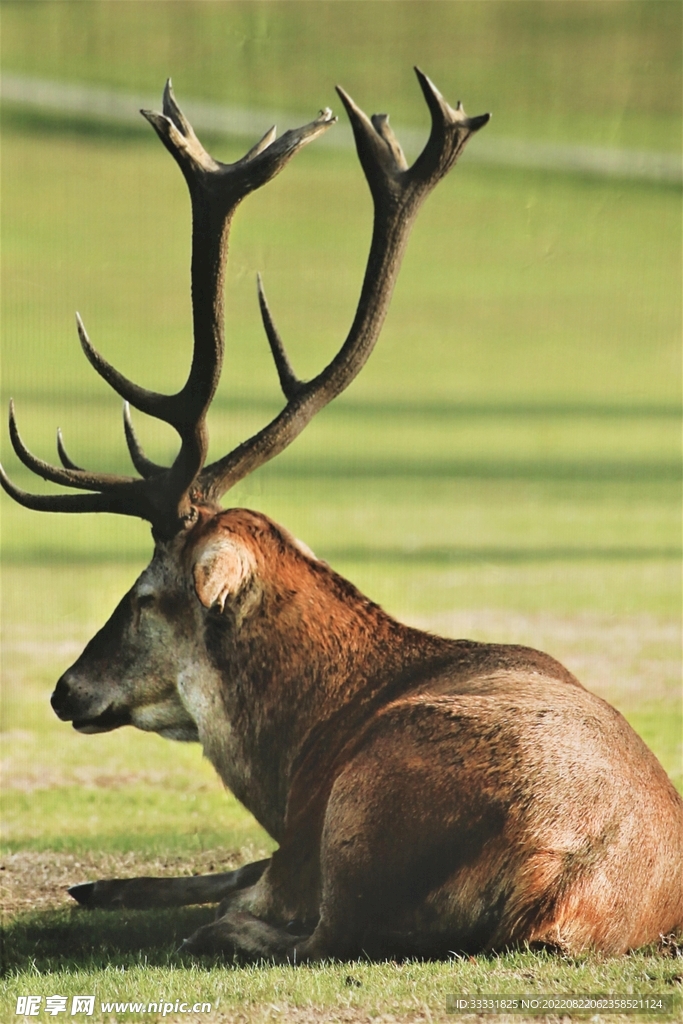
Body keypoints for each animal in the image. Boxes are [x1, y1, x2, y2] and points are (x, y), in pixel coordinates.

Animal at [2, 69, 681, 961]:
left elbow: (246, 878)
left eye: (145, 594)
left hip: (364, 819)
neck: (300, 750)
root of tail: (559, 890)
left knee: (306, 931)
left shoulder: (300, 839)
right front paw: (99, 886)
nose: (65, 689)